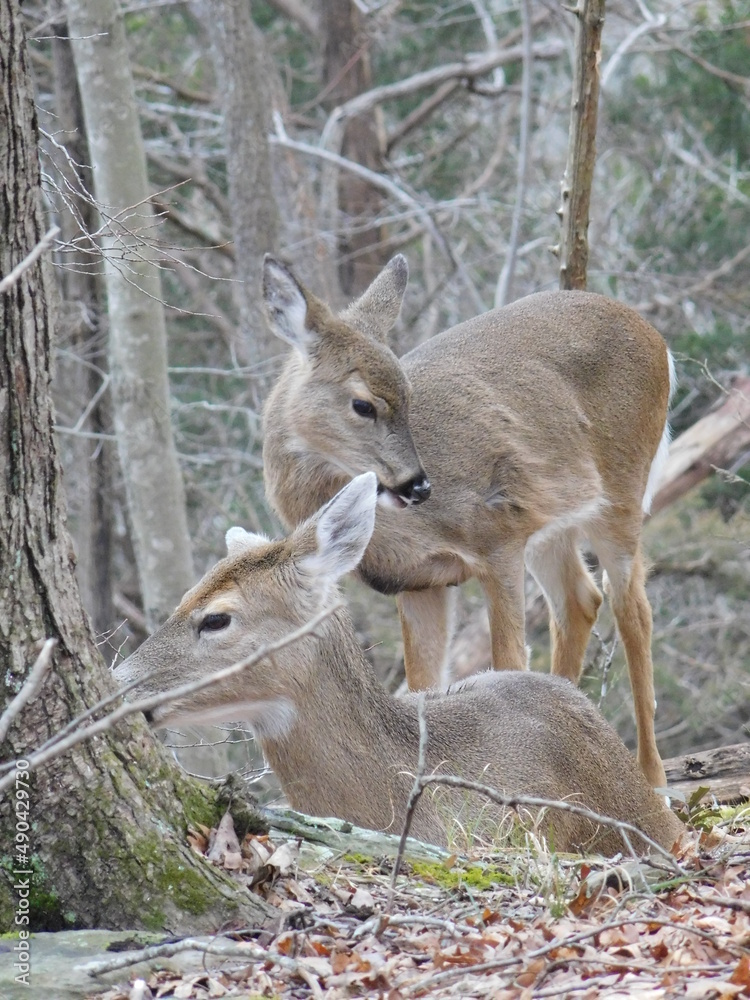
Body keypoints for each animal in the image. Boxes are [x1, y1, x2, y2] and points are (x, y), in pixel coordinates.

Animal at [262, 254, 676, 784]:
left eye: (408, 393)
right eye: (362, 404)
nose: (419, 486)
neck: (398, 532)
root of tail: (657, 338)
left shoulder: (498, 536)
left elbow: (508, 661)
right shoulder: (418, 582)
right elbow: (422, 687)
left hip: (622, 488)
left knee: (633, 609)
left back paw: (653, 779)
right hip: (555, 517)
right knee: (580, 599)